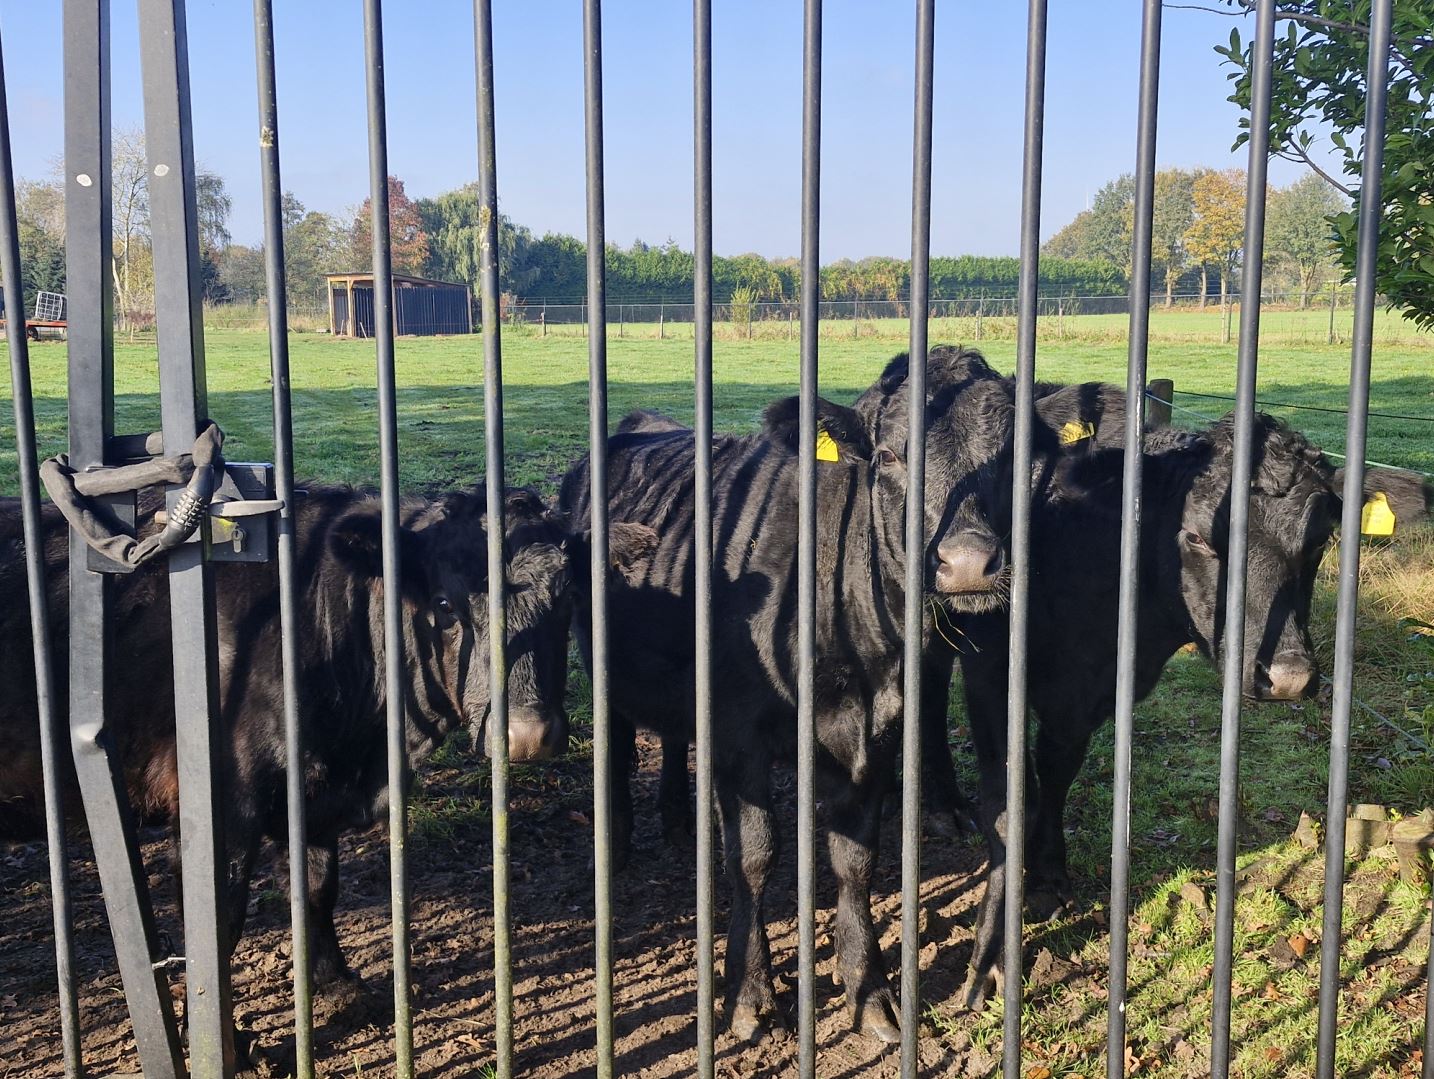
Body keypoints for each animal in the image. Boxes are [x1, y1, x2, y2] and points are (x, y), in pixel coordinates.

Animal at [6, 484, 576, 992]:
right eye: (444, 603)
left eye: (564, 599)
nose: (527, 735)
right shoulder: (224, 806)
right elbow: (220, 923)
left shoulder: (314, 793)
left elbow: (315, 887)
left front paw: (336, 983)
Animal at [559, 350, 1021, 1038]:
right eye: (888, 455)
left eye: (1017, 452)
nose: (967, 563)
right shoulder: (738, 735)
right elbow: (753, 856)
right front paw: (750, 995)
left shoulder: (878, 732)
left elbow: (855, 858)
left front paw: (868, 989)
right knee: (616, 743)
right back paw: (614, 850)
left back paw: (678, 820)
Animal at [917, 384, 1353, 1010]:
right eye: (1198, 538)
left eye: (1319, 539)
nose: (1289, 675)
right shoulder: (990, 670)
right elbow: (1007, 792)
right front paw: (992, 952)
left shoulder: (1085, 696)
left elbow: (1054, 771)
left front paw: (1049, 878)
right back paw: (942, 804)